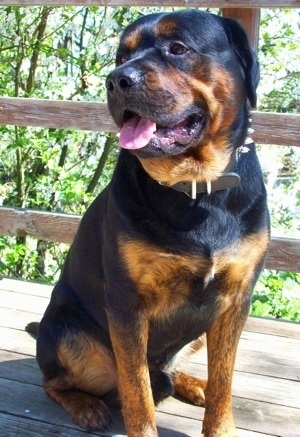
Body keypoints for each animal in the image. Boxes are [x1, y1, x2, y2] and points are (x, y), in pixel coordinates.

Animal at [25, 9, 270, 436]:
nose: (116, 79)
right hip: (72, 336)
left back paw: (192, 383)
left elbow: (224, 376)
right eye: (122, 55)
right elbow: (135, 387)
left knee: (173, 371)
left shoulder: (235, 300)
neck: (196, 188)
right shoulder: (127, 304)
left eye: (178, 48)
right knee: (57, 380)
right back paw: (85, 406)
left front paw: (219, 420)